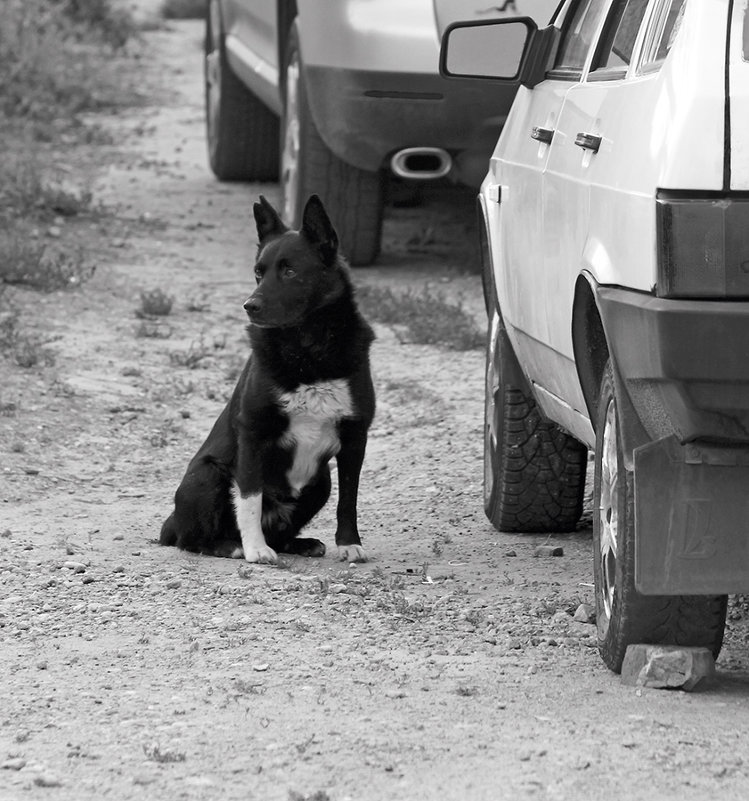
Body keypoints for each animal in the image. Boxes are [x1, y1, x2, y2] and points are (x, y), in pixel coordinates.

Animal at [161, 194, 376, 564]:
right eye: (258, 272)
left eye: (290, 271)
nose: (250, 305)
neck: (309, 351)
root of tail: (170, 523)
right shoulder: (254, 434)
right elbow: (250, 498)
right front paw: (255, 549)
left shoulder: (355, 438)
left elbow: (349, 500)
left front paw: (349, 543)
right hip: (208, 475)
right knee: (191, 539)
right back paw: (230, 545)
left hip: (321, 482)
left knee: (285, 531)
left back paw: (299, 544)